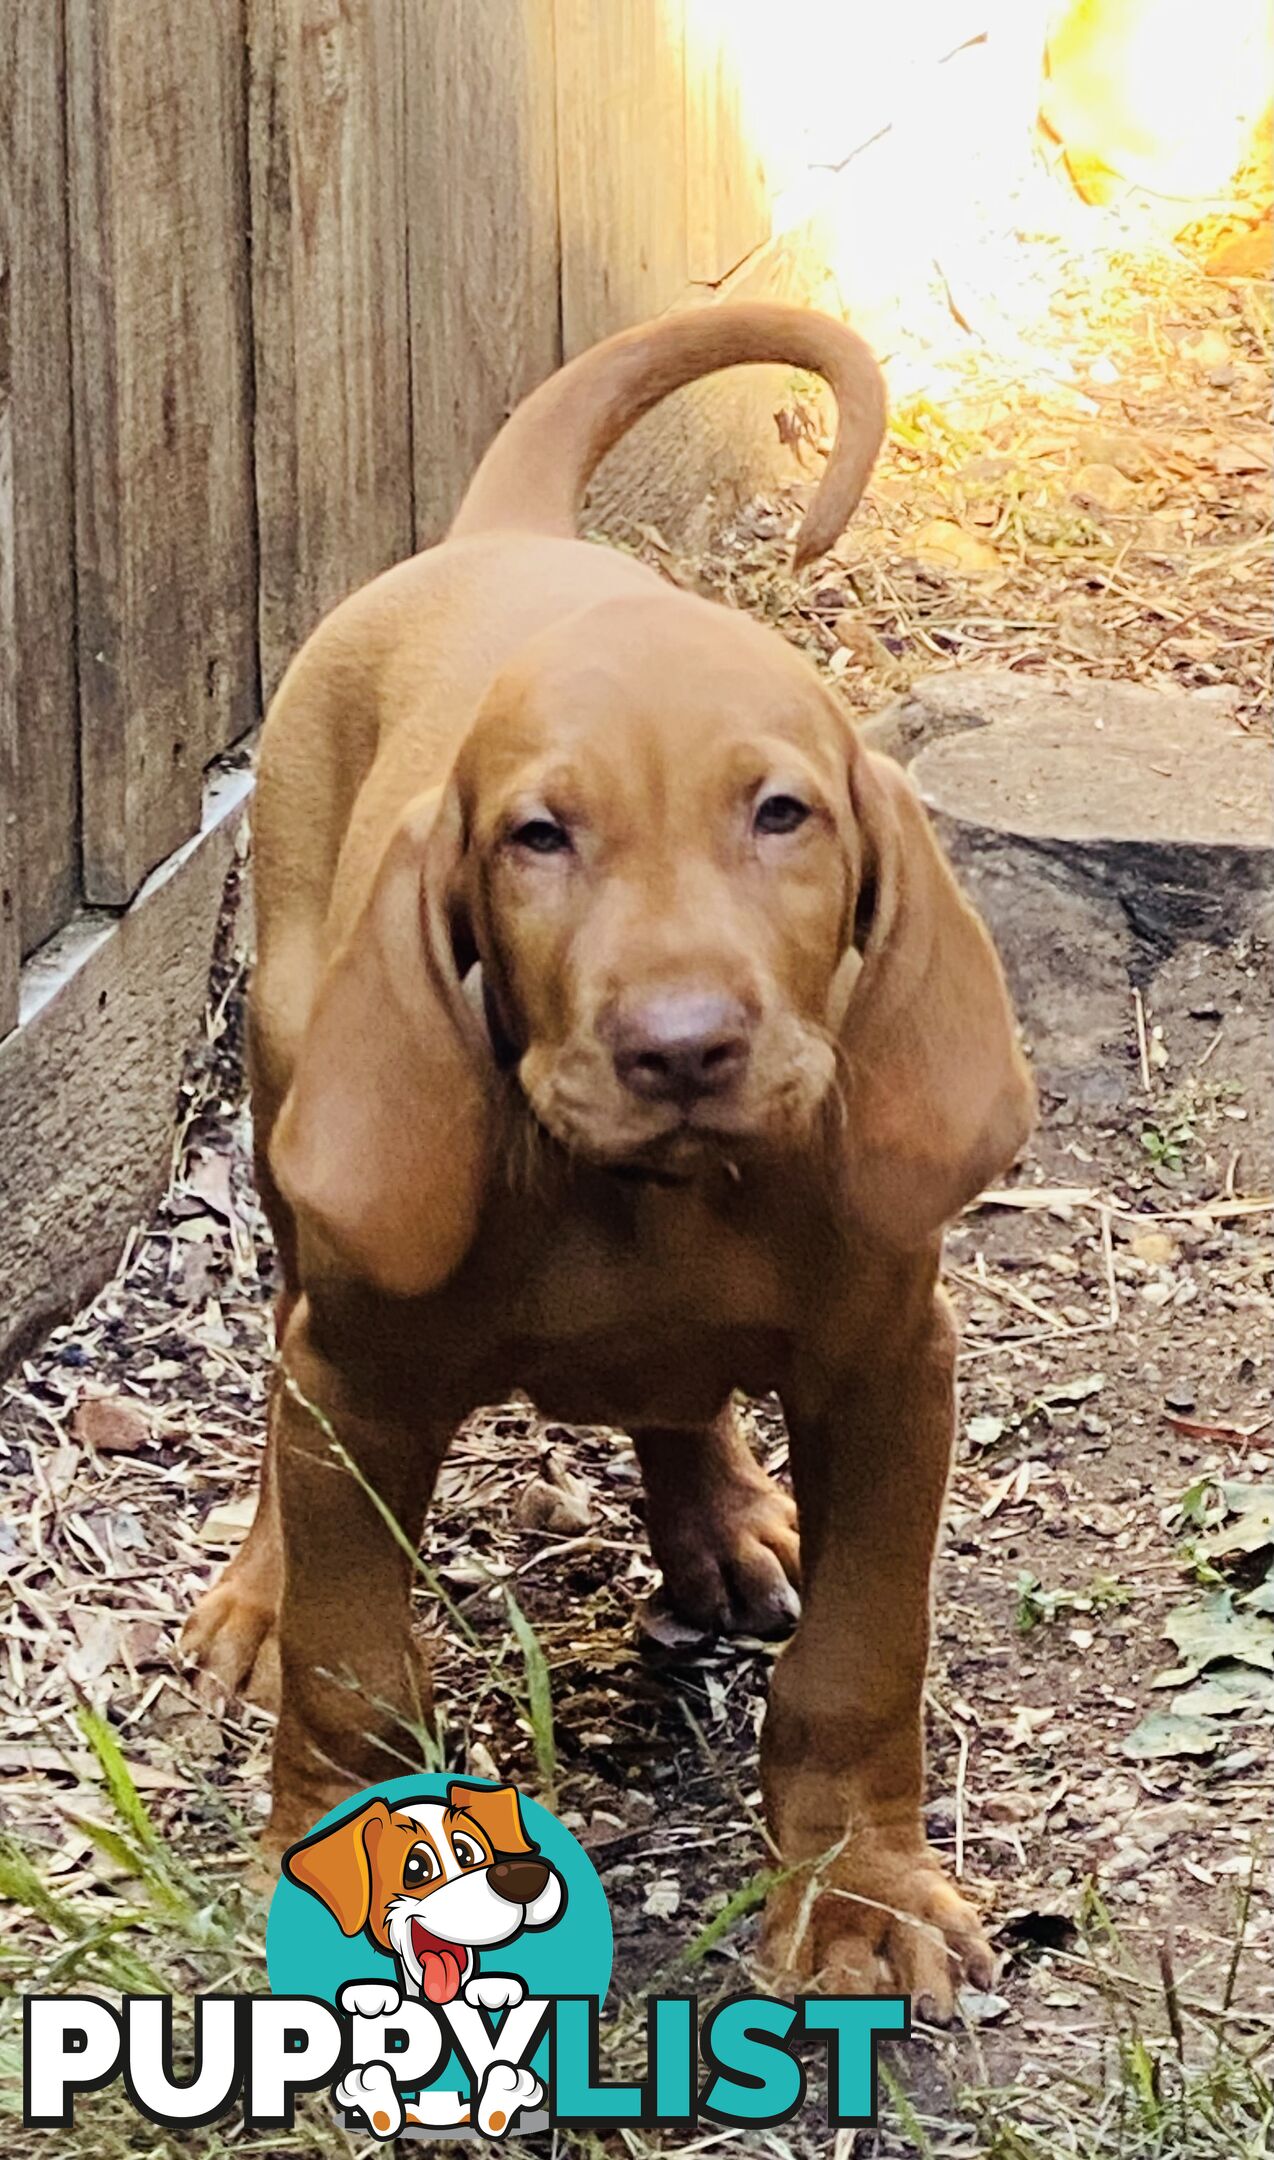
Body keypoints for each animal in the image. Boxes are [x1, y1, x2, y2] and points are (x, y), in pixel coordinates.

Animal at [182, 295, 1036, 2013]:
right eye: (537, 838)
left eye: (781, 814)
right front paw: (324, 1865)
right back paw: (259, 1584)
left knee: (680, 1398)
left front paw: (856, 1896)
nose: (683, 1048)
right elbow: (351, 1668)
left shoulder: (889, 1369)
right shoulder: (360, 1384)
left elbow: (858, 1663)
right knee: (282, 1356)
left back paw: (719, 1516)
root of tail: (502, 535)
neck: (645, 1203)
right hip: (292, 1105)